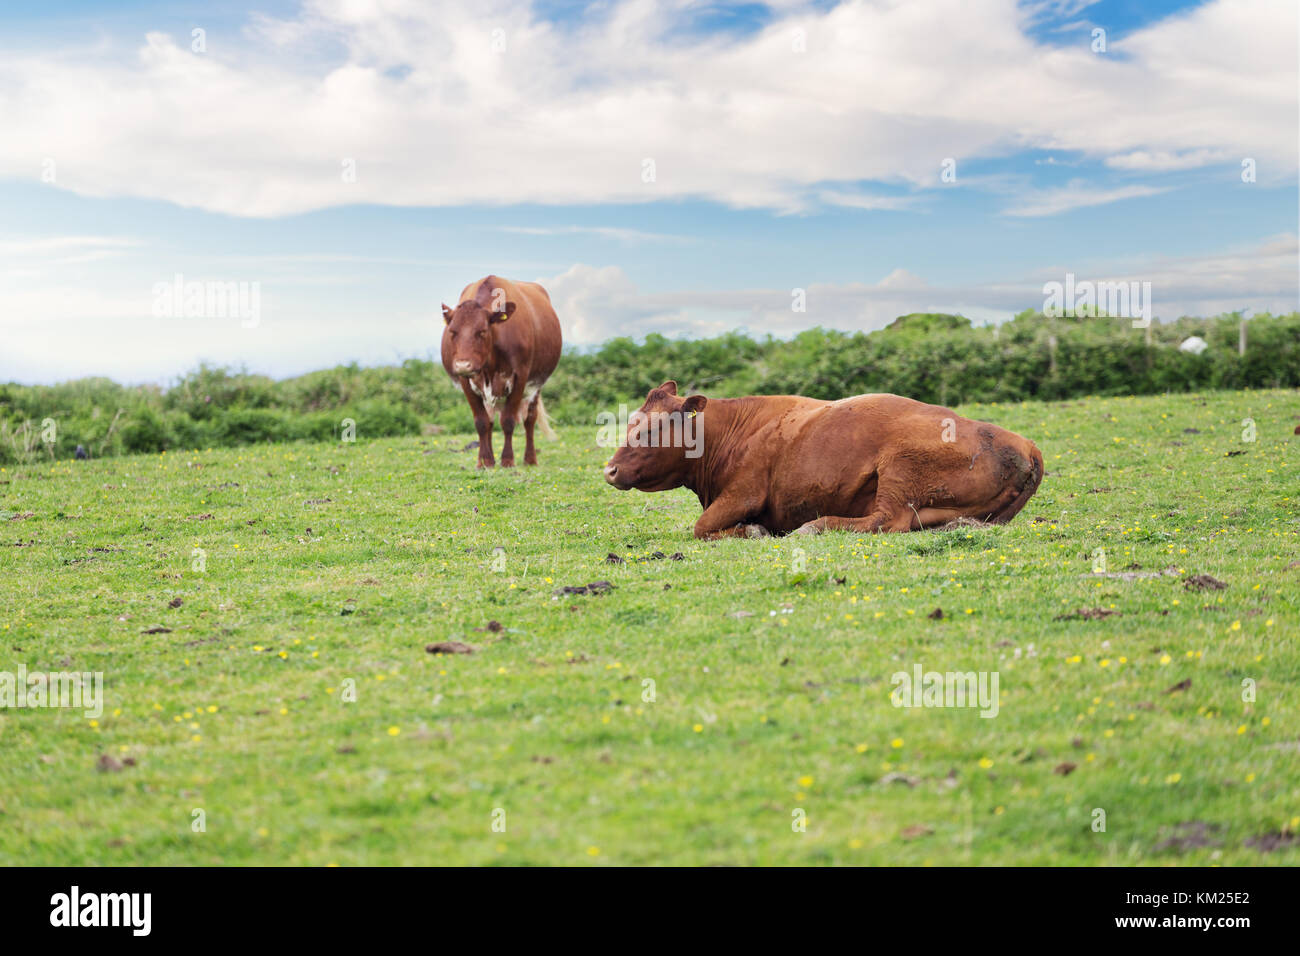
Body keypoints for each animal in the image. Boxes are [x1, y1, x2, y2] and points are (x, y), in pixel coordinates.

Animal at [441, 275, 563, 468]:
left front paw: (507, 460)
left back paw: (530, 459)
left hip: (536, 385)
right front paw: (484, 462)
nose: (463, 365)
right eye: (452, 332)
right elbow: (481, 422)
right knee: (490, 420)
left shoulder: (520, 377)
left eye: (482, 331)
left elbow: (508, 420)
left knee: (530, 419)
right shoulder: (466, 382)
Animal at [603, 382, 1043, 539]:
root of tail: (1024, 443)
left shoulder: (744, 492)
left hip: (900, 467)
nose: (609, 469)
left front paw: (752, 531)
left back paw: (814, 526)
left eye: (652, 429)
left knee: (886, 520)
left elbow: (701, 527)